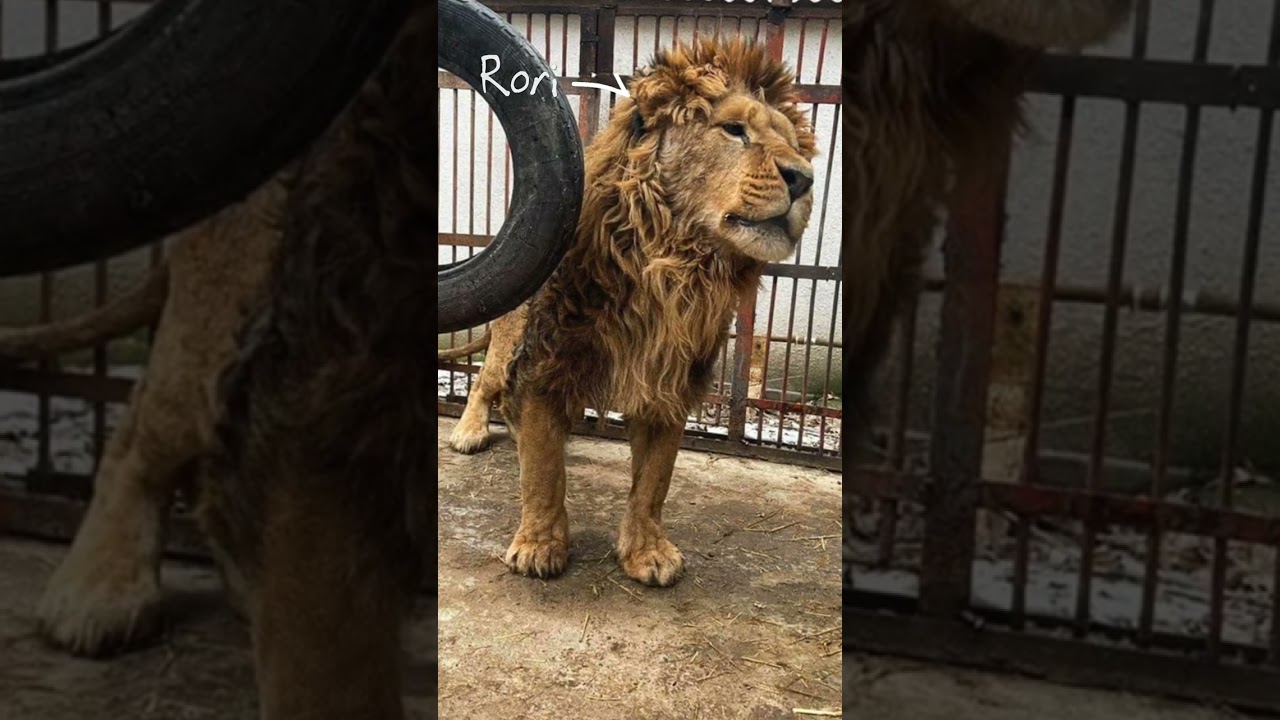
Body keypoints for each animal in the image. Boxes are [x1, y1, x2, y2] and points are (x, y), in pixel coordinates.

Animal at [443, 35, 816, 587]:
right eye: (734, 129)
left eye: (792, 143)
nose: (804, 179)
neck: (672, 269)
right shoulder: (545, 364)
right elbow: (544, 471)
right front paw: (540, 544)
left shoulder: (671, 382)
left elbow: (653, 482)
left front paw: (647, 552)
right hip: (509, 335)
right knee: (483, 383)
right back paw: (469, 430)